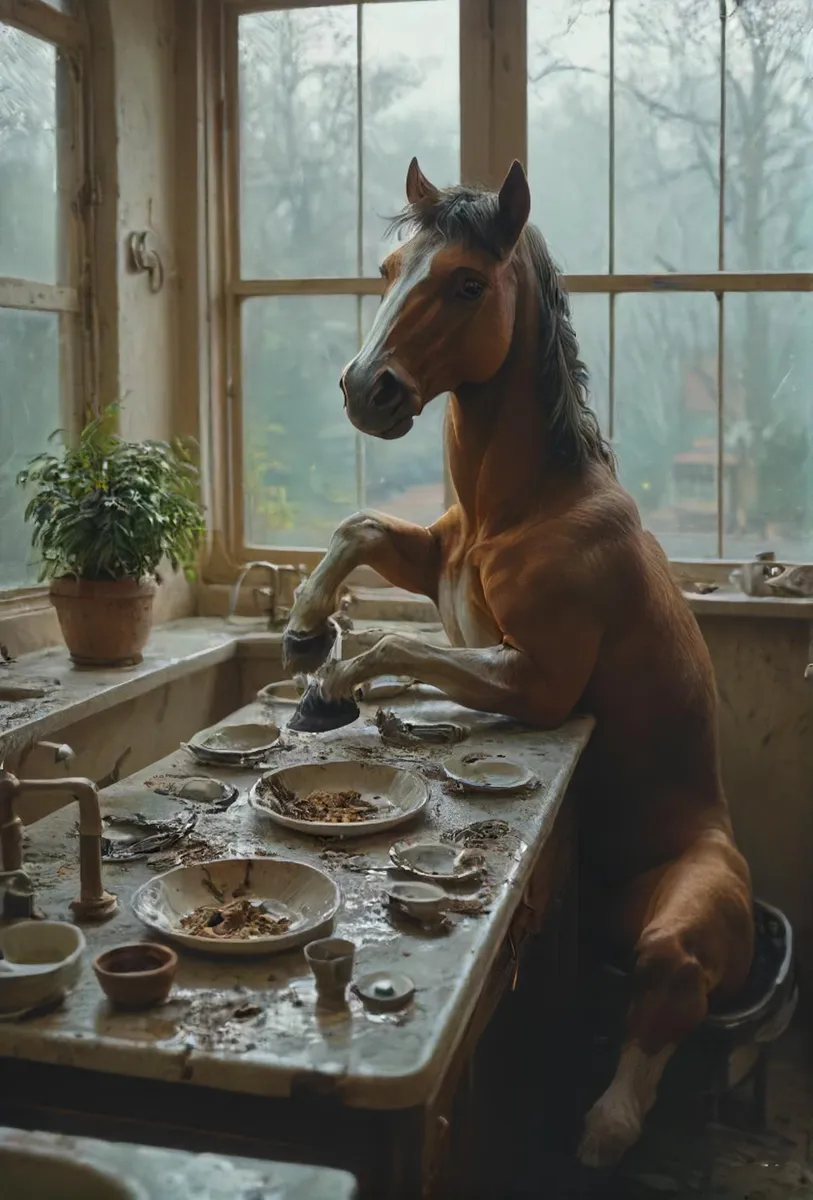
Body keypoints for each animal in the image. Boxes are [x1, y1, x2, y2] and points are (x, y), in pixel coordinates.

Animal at [286, 159, 757, 1171]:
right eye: (390, 269)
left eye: (467, 283)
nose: (365, 389)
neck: (527, 509)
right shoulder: (432, 562)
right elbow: (359, 529)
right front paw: (305, 632)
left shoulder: (536, 684)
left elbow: (393, 642)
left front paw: (327, 686)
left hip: (684, 924)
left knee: (665, 993)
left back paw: (603, 1129)